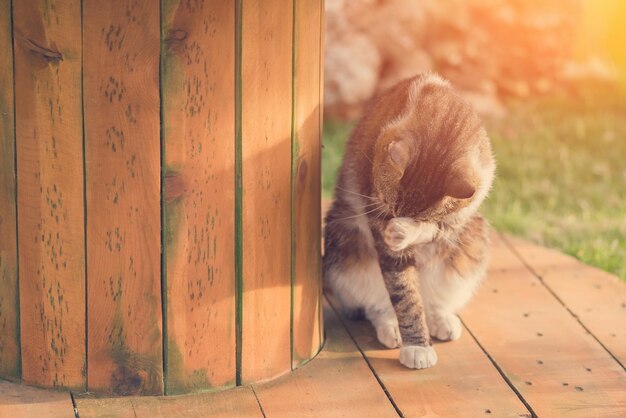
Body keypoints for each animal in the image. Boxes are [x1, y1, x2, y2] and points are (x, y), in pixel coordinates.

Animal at [322, 72, 492, 370]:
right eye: (385, 205)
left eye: (421, 216)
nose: (390, 226)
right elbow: (404, 293)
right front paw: (417, 348)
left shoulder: (467, 207)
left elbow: (440, 227)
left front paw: (407, 230)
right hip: (343, 243)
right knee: (378, 303)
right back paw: (391, 327)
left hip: (473, 243)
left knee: (434, 300)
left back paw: (441, 318)